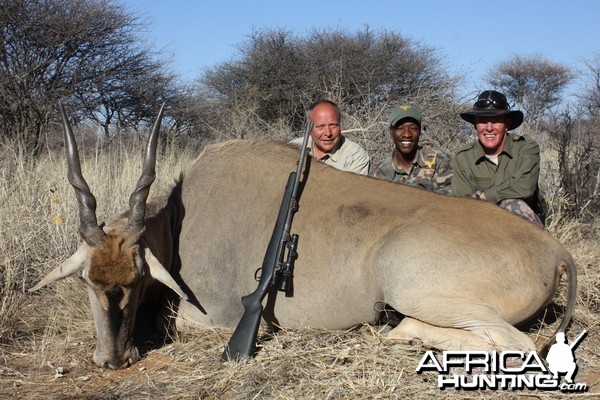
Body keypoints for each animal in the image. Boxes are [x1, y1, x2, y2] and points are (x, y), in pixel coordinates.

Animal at [31, 105, 576, 368]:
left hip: (413, 287)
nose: (111, 360)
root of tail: (554, 250)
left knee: (515, 344)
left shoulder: (211, 316)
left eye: (139, 277)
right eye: (87, 280)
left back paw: (404, 331)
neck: (183, 222)